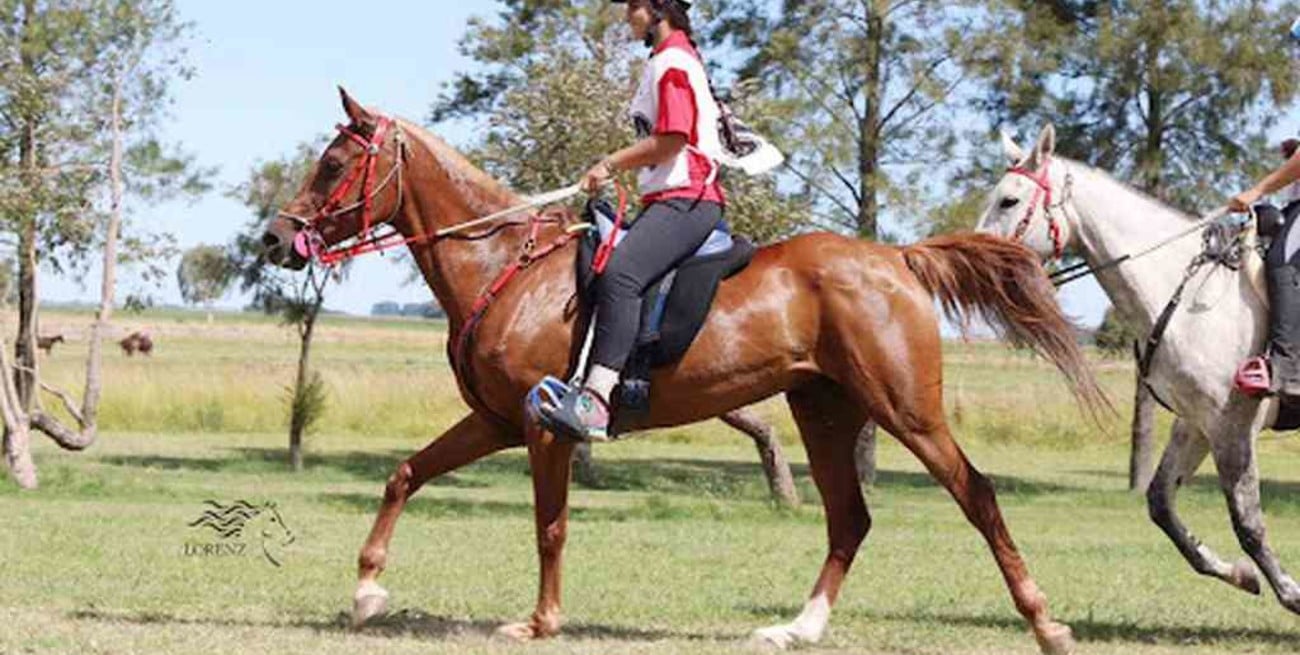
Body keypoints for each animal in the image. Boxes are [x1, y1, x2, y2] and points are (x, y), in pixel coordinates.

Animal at [260, 89, 1105, 654]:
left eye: (333, 163)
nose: (275, 237)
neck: (505, 265)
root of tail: (896, 257)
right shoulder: (497, 419)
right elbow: (404, 474)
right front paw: (367, 590)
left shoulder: (542, 428)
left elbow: (549, 525)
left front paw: (539, 620)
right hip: (825, 407)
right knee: (850, 517)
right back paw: (797, 627)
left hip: (905, 407)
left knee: (976, 494)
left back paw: (1045, 622)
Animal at [978, 125, 1300, 616]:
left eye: (1009, 201)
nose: (970, 257)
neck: (1187, 295)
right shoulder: (1197, 422)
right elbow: (1160, 504)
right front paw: (1239, 575)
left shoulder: (1233, 427)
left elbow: (1248, 523)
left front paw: (1292, 594)